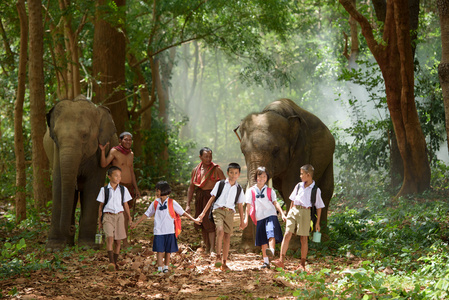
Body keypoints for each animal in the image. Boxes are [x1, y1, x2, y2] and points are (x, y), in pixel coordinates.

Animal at [43, 96, 116, 251]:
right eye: (55, 136)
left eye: (85, 135)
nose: (72, 228)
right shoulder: (57, 151)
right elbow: (58, 187)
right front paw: (53, 248)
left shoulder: (99, 153)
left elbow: (92, 189)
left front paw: (87, 246)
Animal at [238, 98, 332, 246]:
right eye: (243, 151)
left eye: (275, 150)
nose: (256, 246)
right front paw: (246, 248)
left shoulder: (301, 148)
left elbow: (291, 189)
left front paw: (292, 247)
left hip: (329, 160)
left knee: (325, 193)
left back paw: (322, 239)